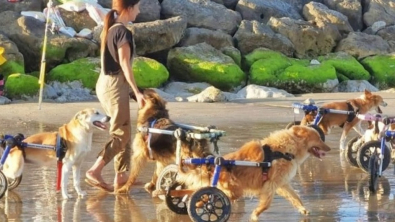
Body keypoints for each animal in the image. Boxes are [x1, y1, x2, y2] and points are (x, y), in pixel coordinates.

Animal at [177, 125, 332, 221]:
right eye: (319, 138)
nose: (329, 148)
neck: (286, 150)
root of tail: (212, 164)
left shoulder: (282, 184)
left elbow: (296, 197)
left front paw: (303, 209)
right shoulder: (271, 185)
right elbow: (266, 205)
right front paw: (255, 214)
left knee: (200, 197)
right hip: (234, 190)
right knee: (209, 199)